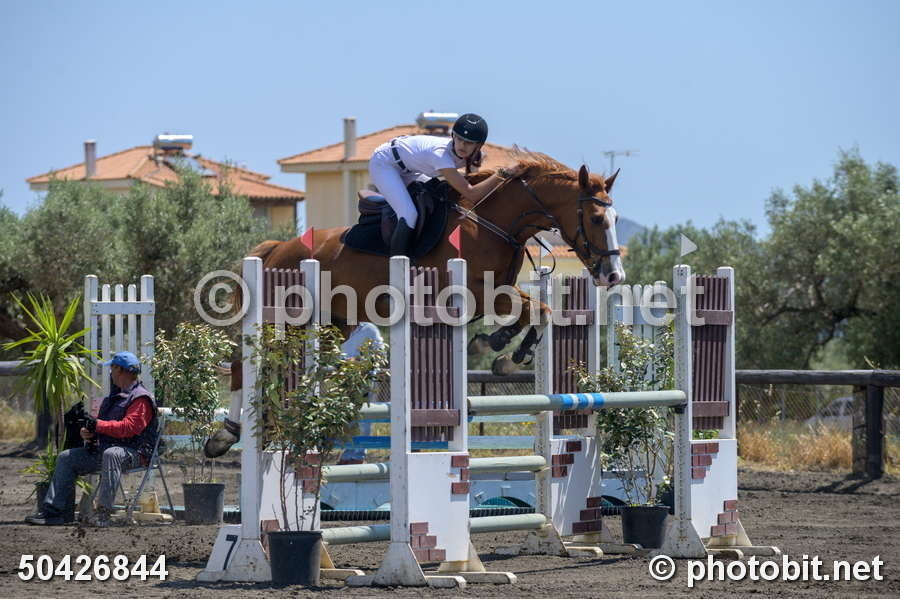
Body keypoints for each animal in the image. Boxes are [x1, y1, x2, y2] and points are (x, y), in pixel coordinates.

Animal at [204, 151, 625, 458]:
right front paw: (501, 347)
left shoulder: (500, 289)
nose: (613, 275)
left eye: (615, 216)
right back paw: (224, 438)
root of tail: (276, 249)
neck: (491, 223)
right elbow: (533, 310)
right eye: (595, 217)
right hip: (286, 321)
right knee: (243, 367)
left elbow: (539, 310)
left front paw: (505, 349)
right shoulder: (473, 293)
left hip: (333, 324)